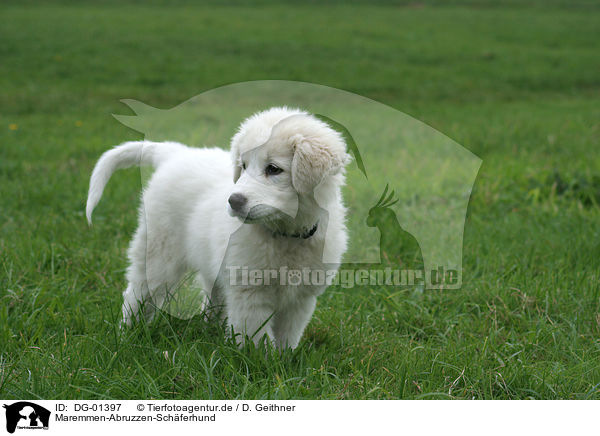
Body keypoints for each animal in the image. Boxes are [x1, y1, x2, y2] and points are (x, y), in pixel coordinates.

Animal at [89, 107, 352, 350]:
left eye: (274, 168)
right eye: (243, 166)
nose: (234, 201)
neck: (284, 235)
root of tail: (177, 153)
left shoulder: (300, 299)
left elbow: (287, 336)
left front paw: (284, 361)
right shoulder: (249, 292)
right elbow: (256, 339)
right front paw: (259, 363)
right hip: (159, 252)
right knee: (138, 294)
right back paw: (127, 335)